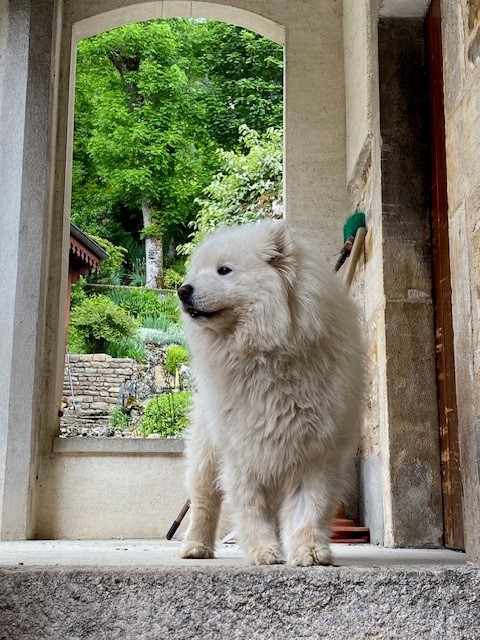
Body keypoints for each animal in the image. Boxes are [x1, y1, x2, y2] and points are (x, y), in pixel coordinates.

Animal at [177, 219, 363, 566]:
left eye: (224, 270)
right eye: (198, 272)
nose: (183, 289)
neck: (267, 355)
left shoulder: (315, 450)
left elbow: (308, 506)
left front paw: (309, 551)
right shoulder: (243, 450)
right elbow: (251, 509)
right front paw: (264, 551)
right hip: (206, 454)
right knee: (203, 502)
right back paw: (195, 547)